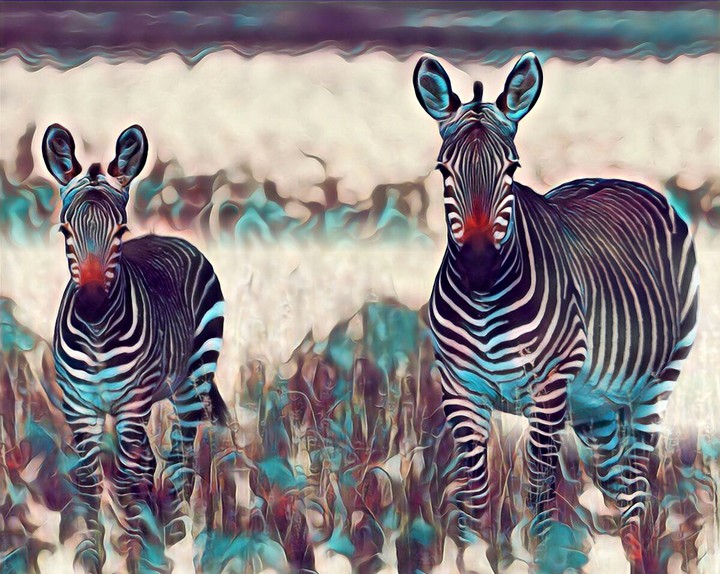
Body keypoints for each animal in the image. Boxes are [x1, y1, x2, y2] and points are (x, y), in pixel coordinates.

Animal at [42, 124, 230, 573]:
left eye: (120, 232)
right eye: (65, 231)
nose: (91, 306)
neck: (97, 336)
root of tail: (171, 238)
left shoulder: (131, 406)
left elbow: (128, 480)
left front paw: (136, 554)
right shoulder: (80, 408)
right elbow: (90, 481)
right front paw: (90, 557)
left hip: (192, 382)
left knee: (179, 459)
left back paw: (173, 535)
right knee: (153, 463)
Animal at [413, 53, 698, 572]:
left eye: (511, 169)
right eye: (444, 170)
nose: (479, 266)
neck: (485, 303)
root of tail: (620, 178)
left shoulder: (547, 391)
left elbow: (540, 495)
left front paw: (542, 557)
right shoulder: (460, 389)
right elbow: (475, 499)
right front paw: (476, 555)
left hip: (655, 384)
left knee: (638, 490)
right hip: (595, 406)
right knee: (618, 484)